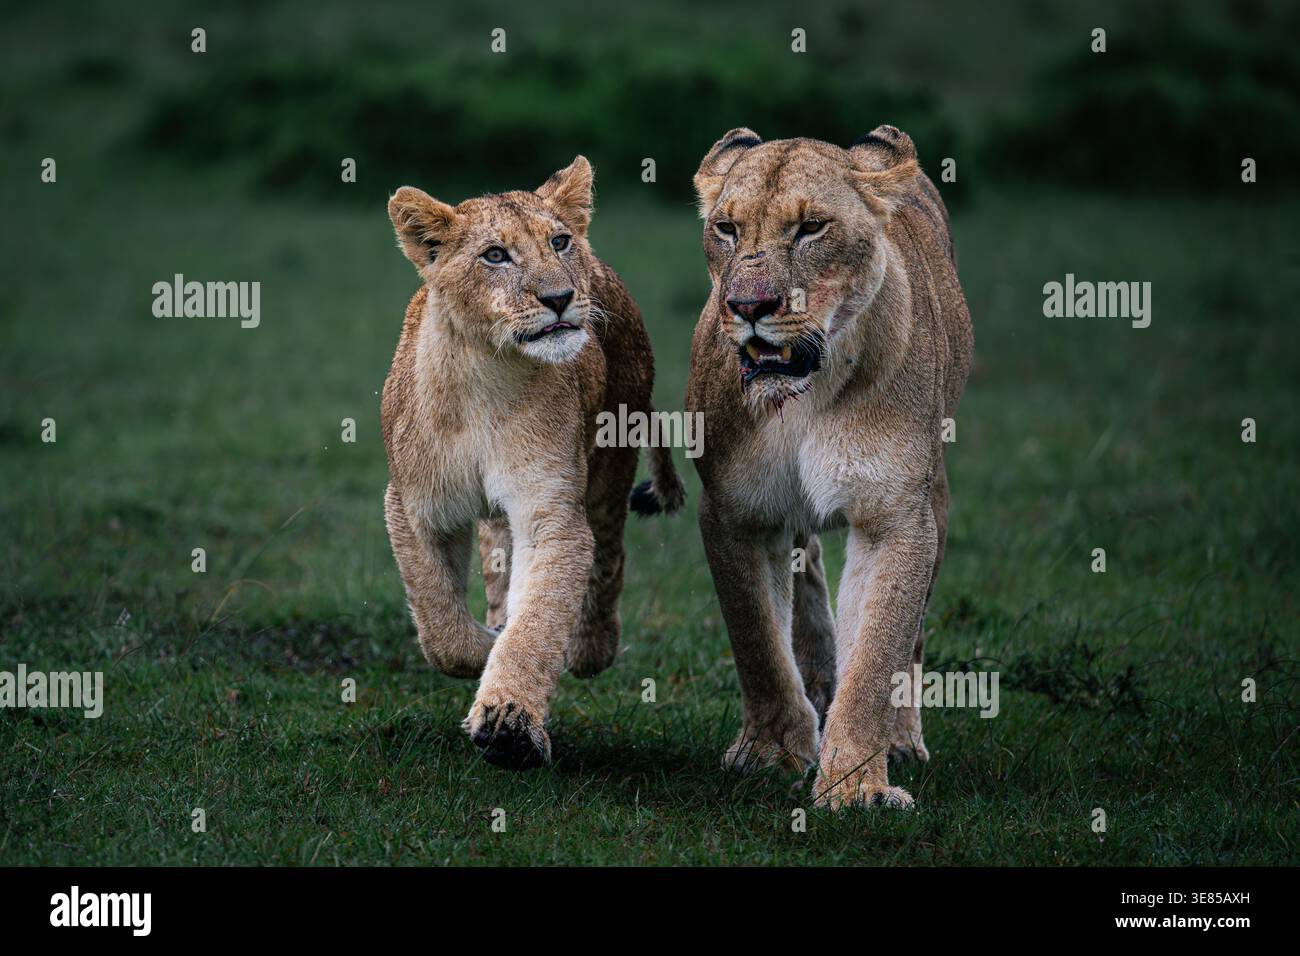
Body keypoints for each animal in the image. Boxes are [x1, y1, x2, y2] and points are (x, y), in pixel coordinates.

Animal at [381, 156, 684, 769]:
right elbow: (439, 624)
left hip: (612, 461)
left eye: (559, 242)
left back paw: (591, 646)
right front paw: (483, 647)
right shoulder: (414, 507)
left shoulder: (551, 512)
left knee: (608, 557)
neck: (486, 377)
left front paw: (509, 723)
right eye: (495, 255)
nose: (560, 297)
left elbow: (538, 622)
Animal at [684, 126, 973, 809]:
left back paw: (901, 739)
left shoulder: (896, 516)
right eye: (726, 229)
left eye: (811, 228)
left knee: (912, 636)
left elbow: (877, 655)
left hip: (938, 496)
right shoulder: (734, 512)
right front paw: (772, 752)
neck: (805, 398)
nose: (749, 305)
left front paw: (856, 785)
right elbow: (758, 642)